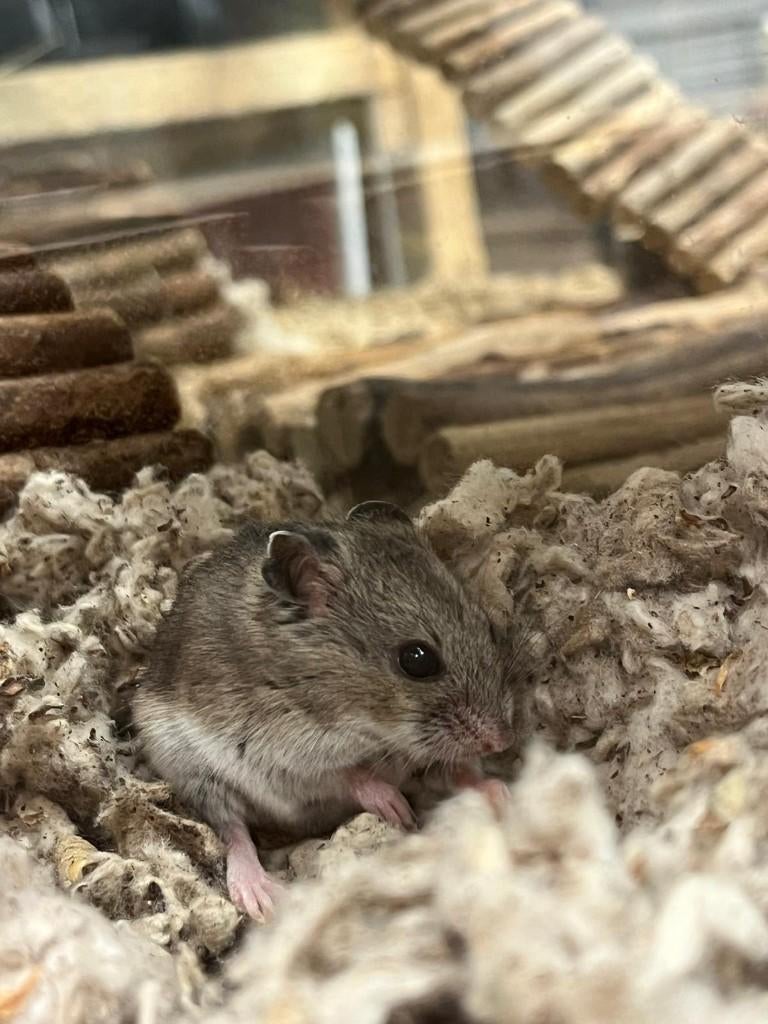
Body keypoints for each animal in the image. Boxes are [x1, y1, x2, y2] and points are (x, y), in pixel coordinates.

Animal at [132, 501, 515, 920]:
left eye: (488, 627)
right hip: (194, 769)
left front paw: (500, 791)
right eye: (417, 660)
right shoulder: (287, 754)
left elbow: (453, 770)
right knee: (232, 830)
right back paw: (261, 897)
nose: (501, 742)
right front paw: (397, 809)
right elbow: (351, 775)